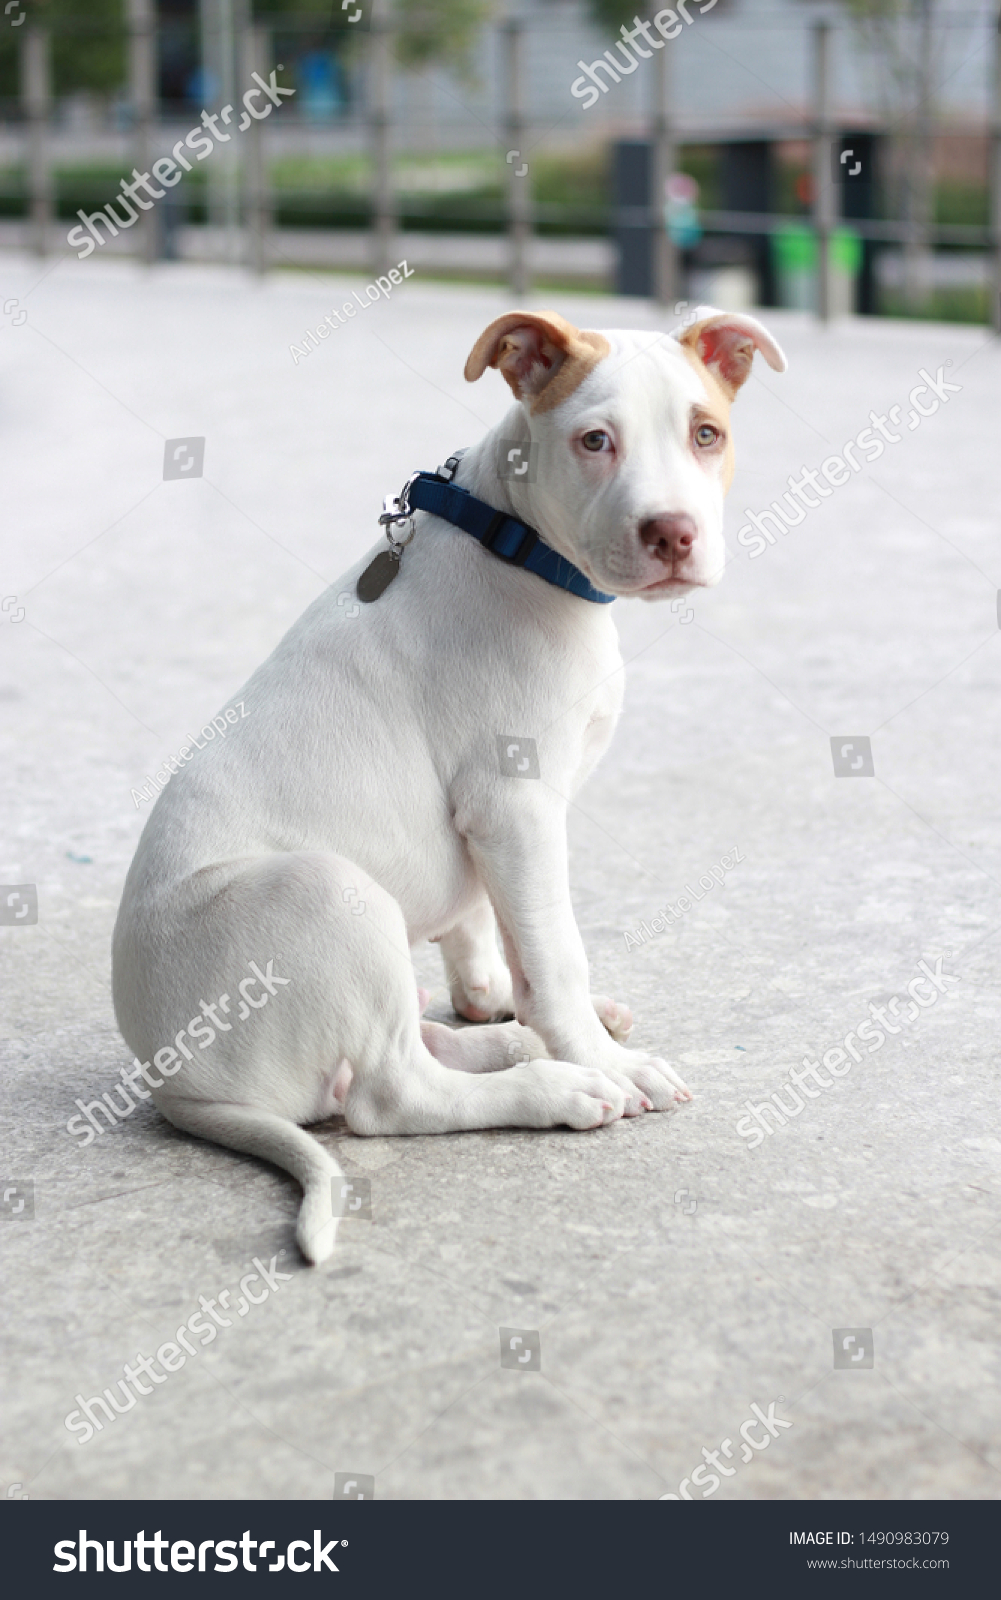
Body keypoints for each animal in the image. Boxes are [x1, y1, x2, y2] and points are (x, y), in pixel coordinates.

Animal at [108, 308, 780, 1260]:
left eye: (706, 434)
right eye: (595, 441)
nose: (672, 533)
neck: (518, 542)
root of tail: (171, 1080)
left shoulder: (486, 829)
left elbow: (484, 929)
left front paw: (498, 1004)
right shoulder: (515, 805)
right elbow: (553, 953)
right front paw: (597, 1058)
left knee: (405, 1047)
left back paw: (512, 1050)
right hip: (329, 894)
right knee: (389, 1095)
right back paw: (558, 1086)